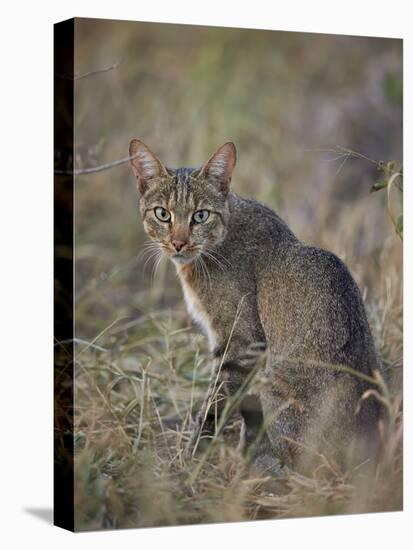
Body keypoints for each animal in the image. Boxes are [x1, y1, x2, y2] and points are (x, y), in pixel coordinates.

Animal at [129, 138, 384, 474]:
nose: (178, 243)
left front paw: (193, 459)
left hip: (276, 384)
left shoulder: (241, 343)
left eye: (200, 216)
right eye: (162, 214)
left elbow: (214, 407)